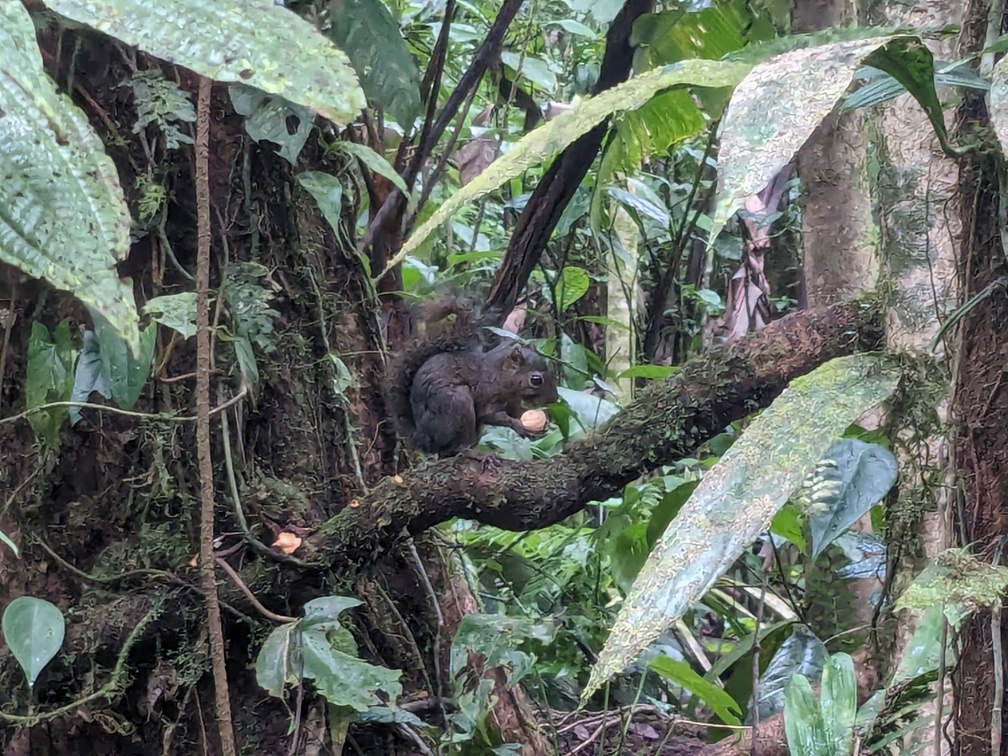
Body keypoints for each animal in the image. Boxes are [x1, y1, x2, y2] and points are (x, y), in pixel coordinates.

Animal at [385, 296, 560, 455]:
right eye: (536, 380)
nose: (554, 399)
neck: (501, 377)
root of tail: (421, 437)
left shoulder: (513, 401)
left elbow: (516, 412)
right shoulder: (486, 394)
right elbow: (491, 415)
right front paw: (518, 425)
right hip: (456, 405)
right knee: (456, 448)